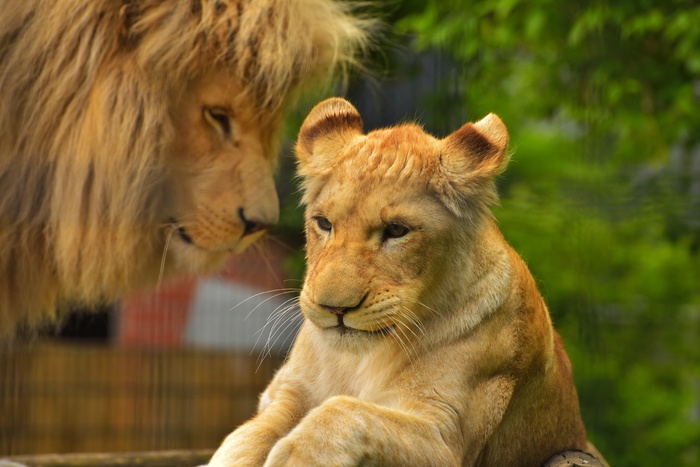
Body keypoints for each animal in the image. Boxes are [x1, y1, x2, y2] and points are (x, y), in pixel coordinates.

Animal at [208, 100, 608, 467]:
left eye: (397, 231)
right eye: (323, 223)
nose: (335, 308)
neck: (359, 360)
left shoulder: (446, 435)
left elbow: (344, 412)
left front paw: (295, 457)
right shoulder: (287, 391)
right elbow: (246, 436)